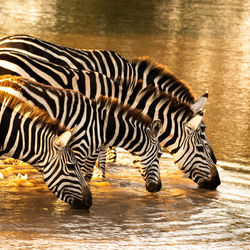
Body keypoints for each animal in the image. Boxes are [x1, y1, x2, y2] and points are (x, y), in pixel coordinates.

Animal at [0, 75, 220, 188]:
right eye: (201, 148)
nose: (216, 182)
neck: (104, 124)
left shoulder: (98, 145)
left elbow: (100, 167)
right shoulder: (79, 149)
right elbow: (85, 173)